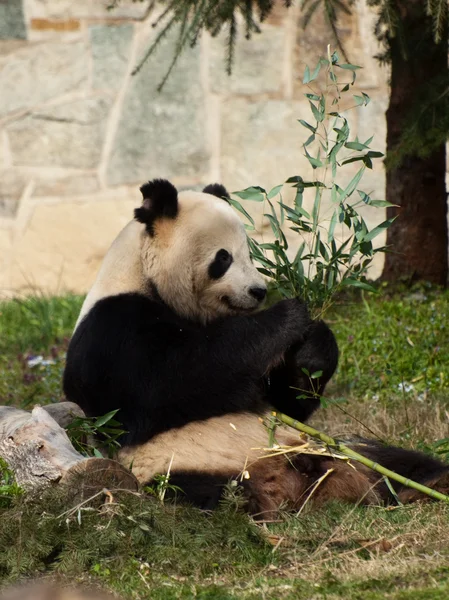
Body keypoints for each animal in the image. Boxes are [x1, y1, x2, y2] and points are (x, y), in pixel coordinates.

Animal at [63, 178, 448, 516]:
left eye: (250, 254)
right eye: (223, 258)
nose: (259, 291)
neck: (142, 275)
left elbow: (285, 400)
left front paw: (313, 346)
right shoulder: (113, 331)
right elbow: (171, 380)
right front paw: (287, 315)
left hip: (338, 447)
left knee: (395, 460)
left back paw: (430, 483)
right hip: (181, 468)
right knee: (213, 495)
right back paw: (259, 504)